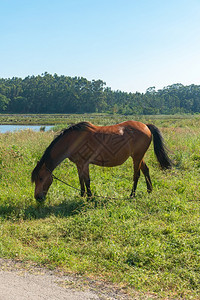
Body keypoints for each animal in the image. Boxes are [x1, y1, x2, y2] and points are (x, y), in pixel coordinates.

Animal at [31, 120, 172, 202]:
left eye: (41, 178)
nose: (37, 197)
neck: (72, 141)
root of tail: (145, 126)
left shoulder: (84, 163)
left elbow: (87, 180)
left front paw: (89, 197)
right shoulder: (79, 164)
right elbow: (81, 179)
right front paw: (82, 195)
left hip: (136, 157)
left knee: (136, 175)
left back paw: (132, 194)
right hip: (138, 156)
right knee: (146, 170)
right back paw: (149, 190)